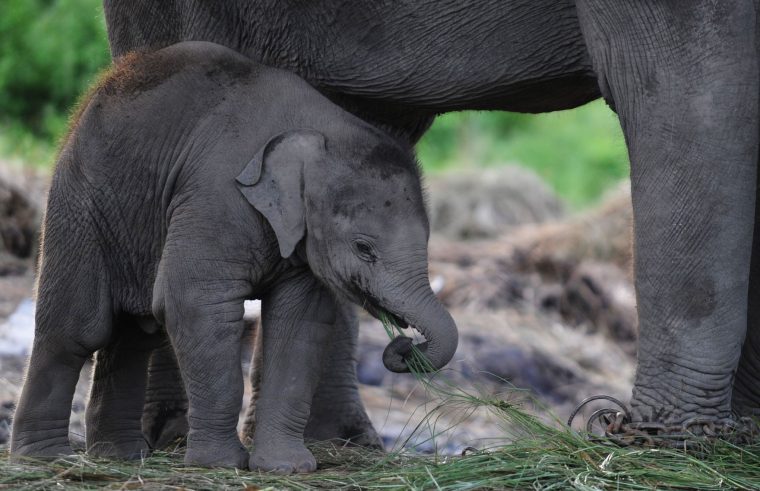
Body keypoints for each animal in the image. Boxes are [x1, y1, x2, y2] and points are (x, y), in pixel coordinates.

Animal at [8, 41, 458, 472]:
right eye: (364, 249)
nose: (403, 346)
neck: (322, 129)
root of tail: (98, 89)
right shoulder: (216, 195)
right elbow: (193, 302)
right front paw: (220, 465)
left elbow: (299, 322)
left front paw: (286, 468)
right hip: (79, 206)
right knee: (77, 330)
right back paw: (45, 459)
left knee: (135, 334)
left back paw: (119, 457)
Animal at [105, 0, 760, 444]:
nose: (402, 347)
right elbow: (690, 101)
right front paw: (668, 451)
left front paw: (727, 444)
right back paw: (174, 441)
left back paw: (338, 447)